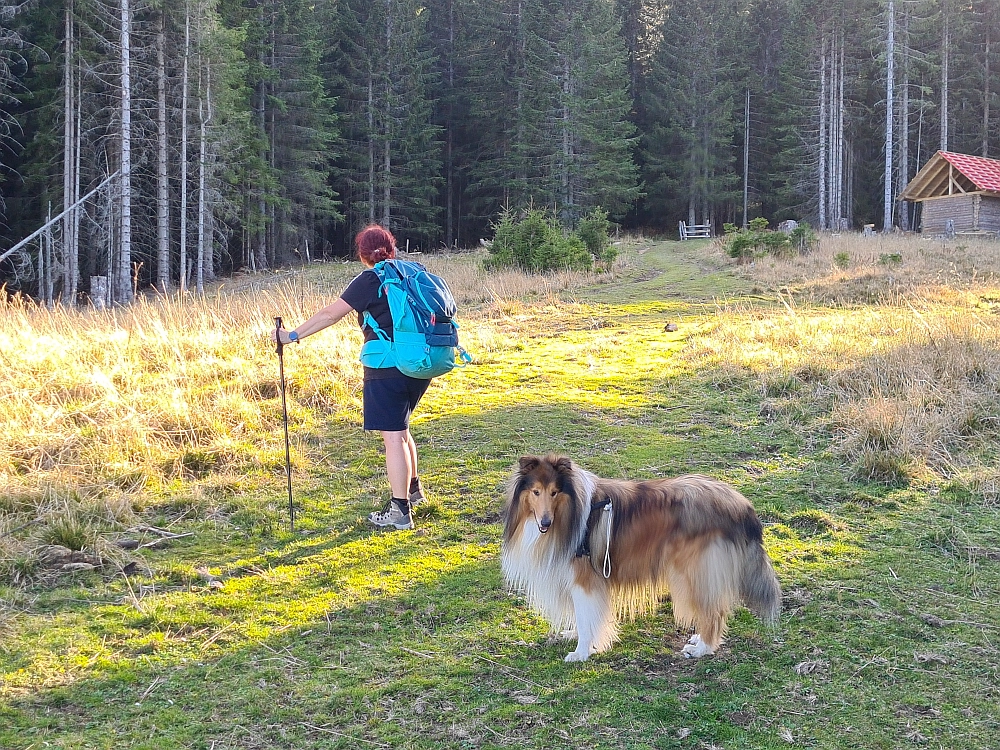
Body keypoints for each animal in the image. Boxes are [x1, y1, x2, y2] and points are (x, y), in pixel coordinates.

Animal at [500, 456, 780, 660]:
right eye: (536, 492)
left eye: (555, 492)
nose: (545, 523)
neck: (572, 512)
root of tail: (741, 504)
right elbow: (584, 619)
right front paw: (578, 637)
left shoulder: (585, 582)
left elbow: (586, 618)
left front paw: (581, 653)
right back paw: (699, 640)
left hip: (694, 571)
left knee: (714, 612)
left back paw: (702, 649)